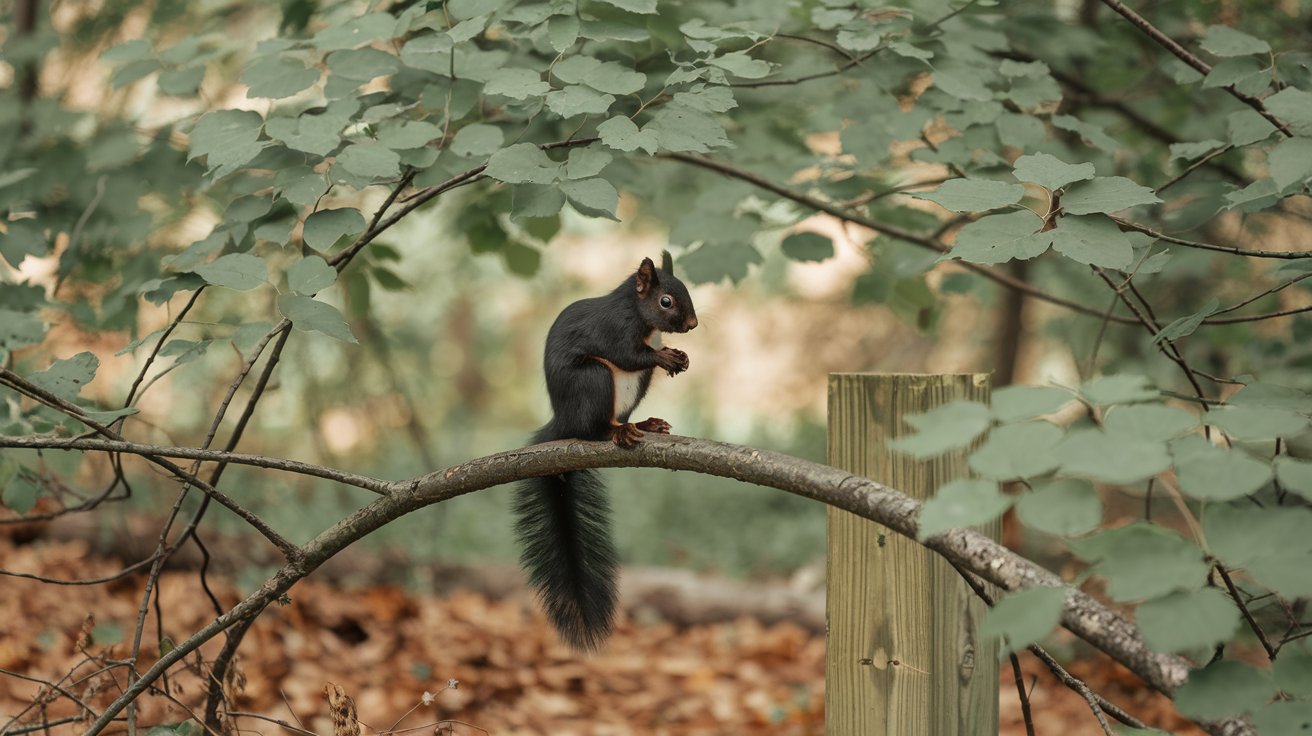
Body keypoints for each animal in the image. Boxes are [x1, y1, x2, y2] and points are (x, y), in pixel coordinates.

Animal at [511, 254, 697, 648]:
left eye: (686, 289)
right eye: (665, 301)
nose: (692, 324)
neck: (641, 318)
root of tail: (562, 421)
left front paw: (680, 357)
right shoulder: (614, 330)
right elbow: (629, 355)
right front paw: (666, 357)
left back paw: (643, 424)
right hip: (592, 380)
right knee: (594, 429)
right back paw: (617, 432)